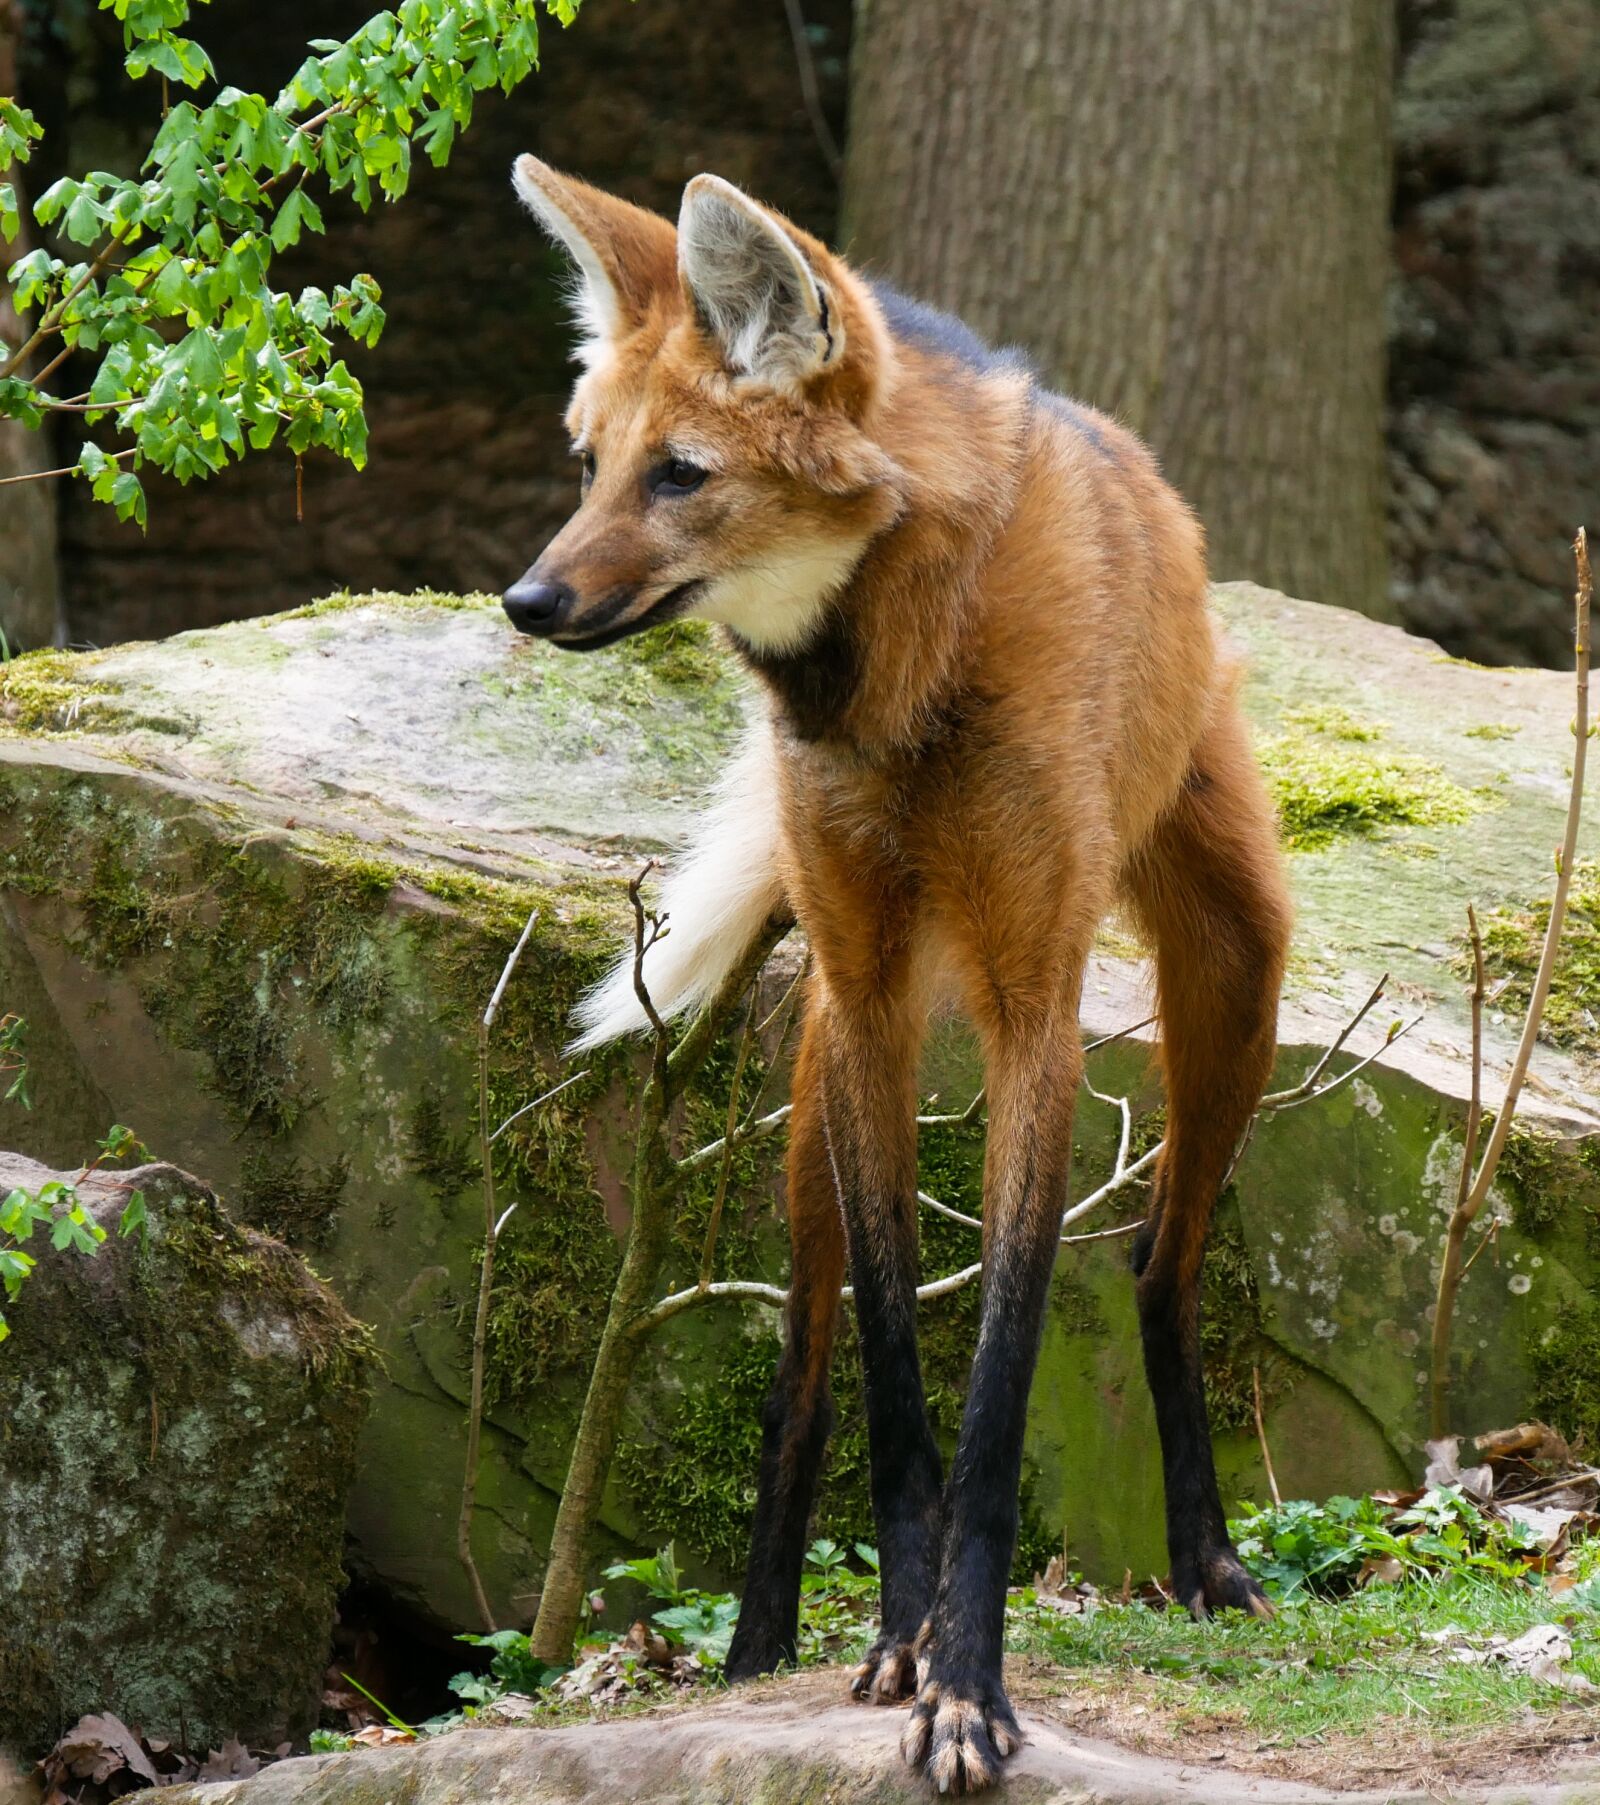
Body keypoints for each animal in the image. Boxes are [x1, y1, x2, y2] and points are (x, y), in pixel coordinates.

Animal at [505, 155, 1300, 1790]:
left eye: (679, 475)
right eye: (590, 463)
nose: (525, 602)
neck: (900, 674)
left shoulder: (1031, 1004)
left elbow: (997, 1375)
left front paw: (969, 1688)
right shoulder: (871, 997)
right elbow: (885, 1350)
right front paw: (903, 1643)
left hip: (1237, 970)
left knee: (1159, 1258)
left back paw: (1206, 1559)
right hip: (819, 1056)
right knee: (800, 1364)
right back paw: (760, 1649)